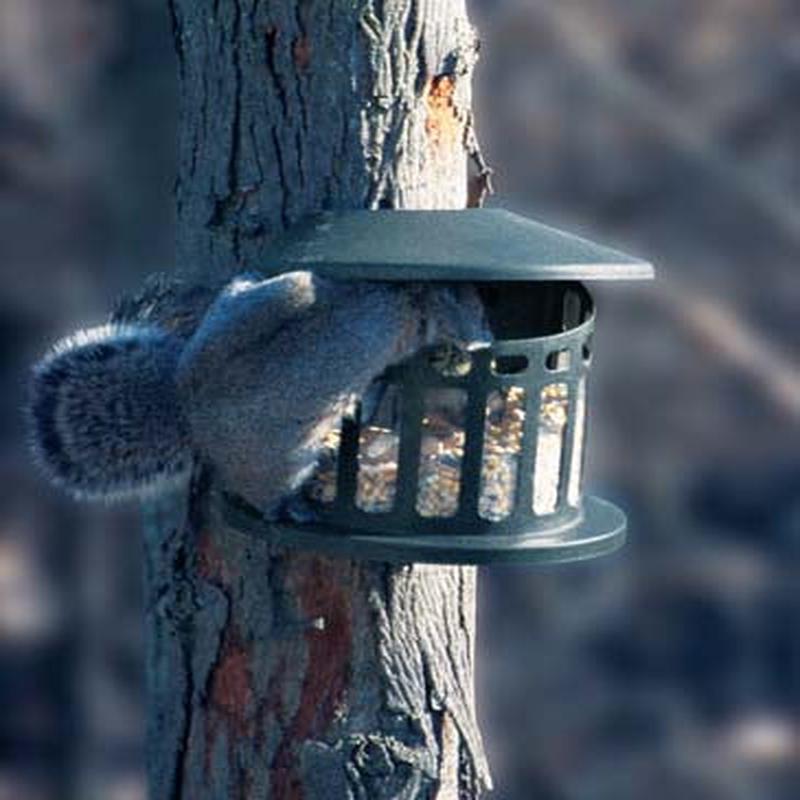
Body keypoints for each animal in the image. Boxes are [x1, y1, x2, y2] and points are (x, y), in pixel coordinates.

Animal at [27, 271, 490, 516]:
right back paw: (292, 507)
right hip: (280, 461)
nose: (485, 338)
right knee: (264, 496)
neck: (407, 296)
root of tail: (188, 411)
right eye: (474, 307)